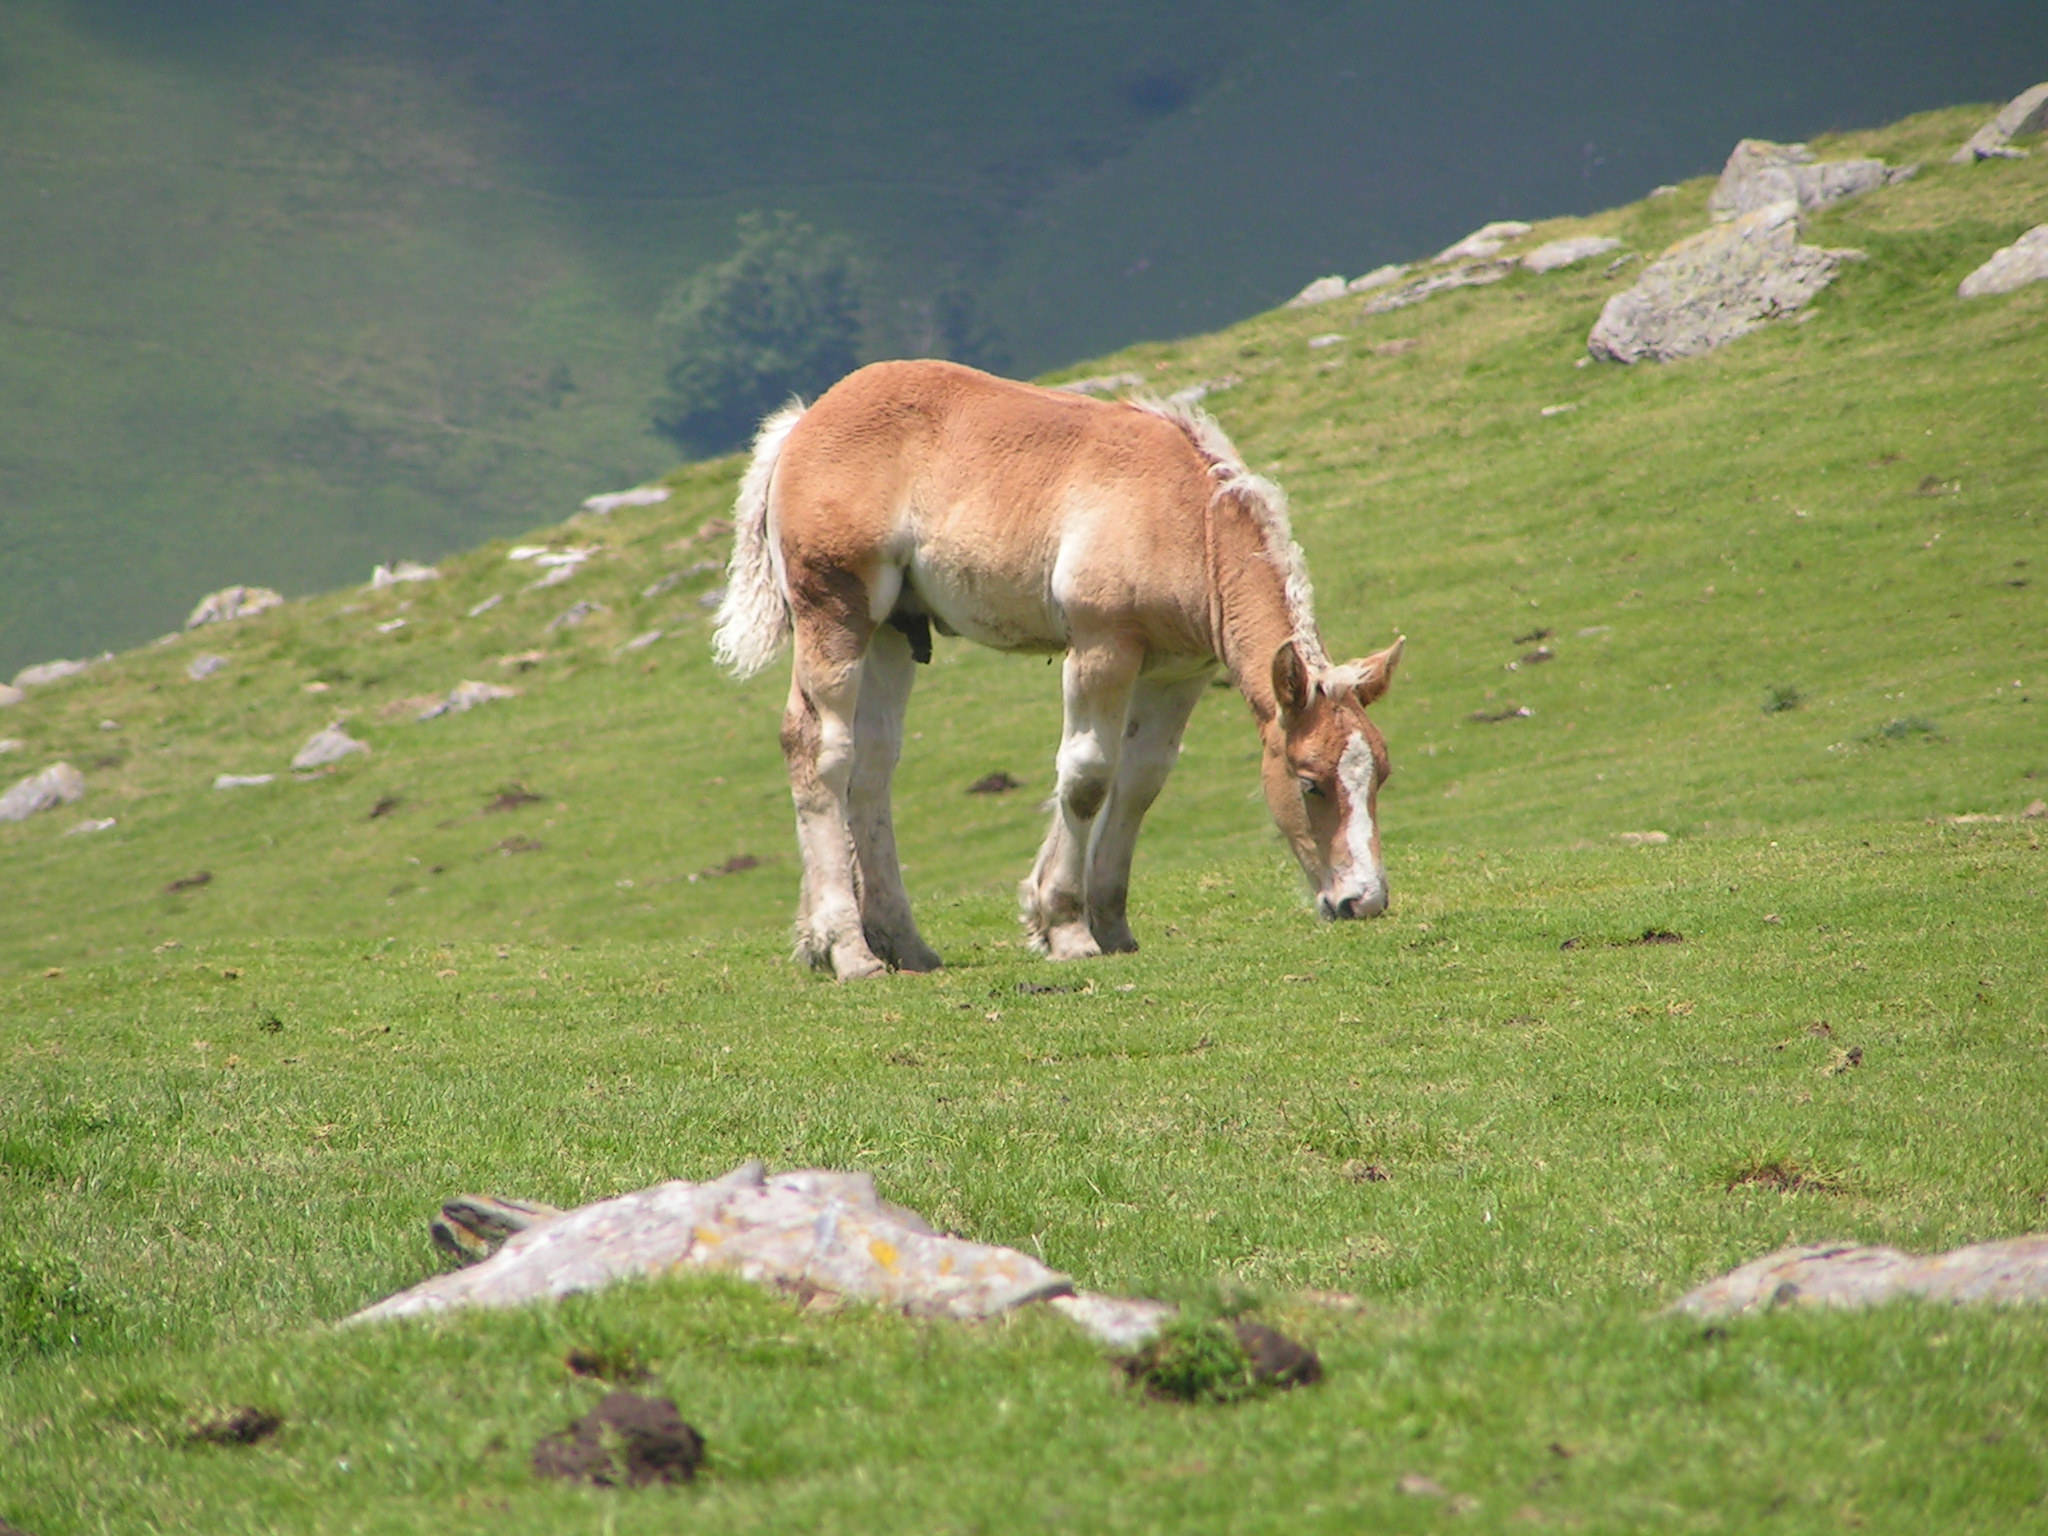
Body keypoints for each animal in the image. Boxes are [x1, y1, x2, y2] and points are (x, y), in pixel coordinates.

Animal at [712, 360, 1400, 978]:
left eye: (1380, 775)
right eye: (1309, 783)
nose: (1363, 901)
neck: (1186, 522)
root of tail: (801, 425)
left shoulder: (1178, 673)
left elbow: (1141, 781)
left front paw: (1109, 925)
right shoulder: (1101, 646)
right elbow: (1088, 776)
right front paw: (1066, 926)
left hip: (891, 632)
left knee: (872, 764)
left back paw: (901, 945)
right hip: (836, 614)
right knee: (819, 749)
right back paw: (848, 950)